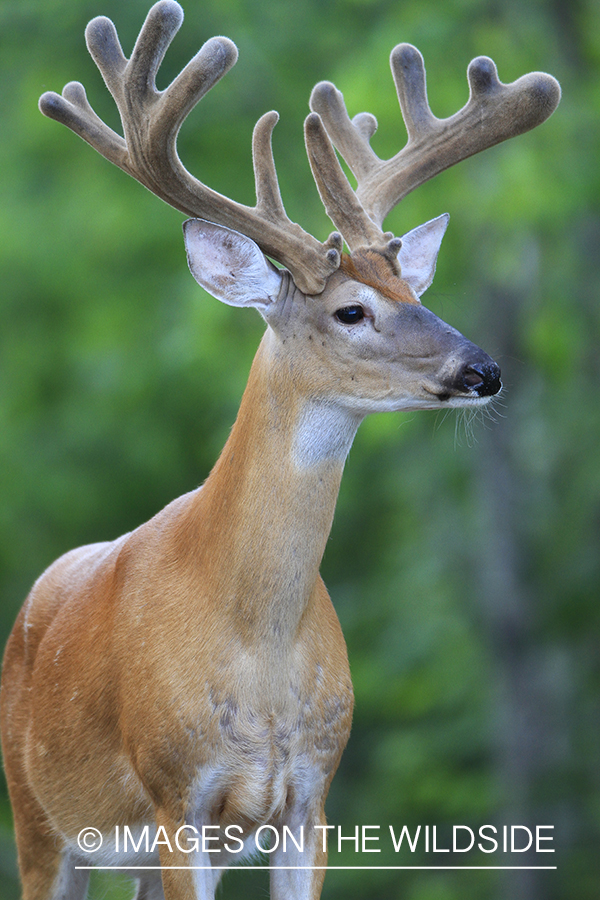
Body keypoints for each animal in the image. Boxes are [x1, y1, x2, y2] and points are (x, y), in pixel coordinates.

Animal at [2, 1, 560, 900]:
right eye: (351, 310)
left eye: (416, 290)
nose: (484, 369)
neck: (257, 645)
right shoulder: (178, 798)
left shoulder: (310, 797)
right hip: (41, 821)